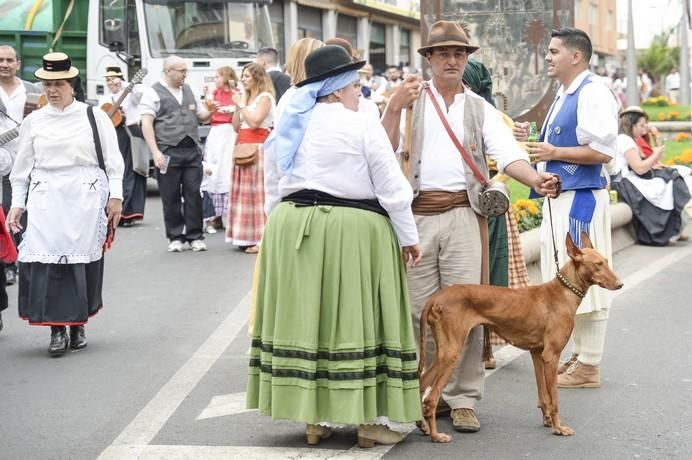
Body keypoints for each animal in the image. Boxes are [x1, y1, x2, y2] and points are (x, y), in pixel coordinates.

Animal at [418, 232, 624, 444]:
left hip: (443, 354)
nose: (620, 284)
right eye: (598, 264)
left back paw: (423, 426)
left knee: (421, 384)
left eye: (606, 261)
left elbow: (544, 396)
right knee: (430, 397)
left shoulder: (538, 354)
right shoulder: (551, 356)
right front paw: (558, 428)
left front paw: (548, 421)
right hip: (452, 354)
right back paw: (435, 435)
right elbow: (555, 398)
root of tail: (436, 297)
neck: (563, 292)